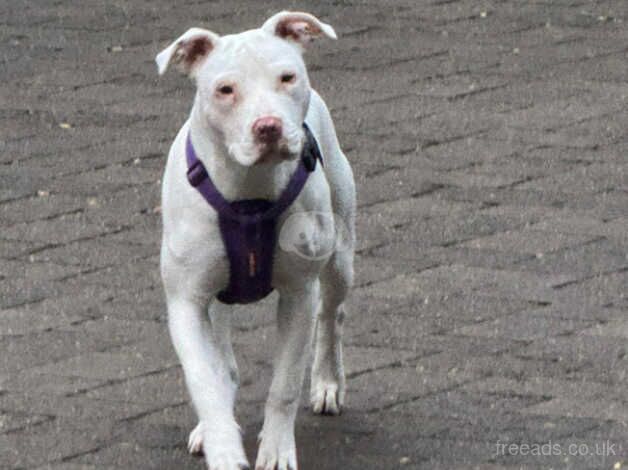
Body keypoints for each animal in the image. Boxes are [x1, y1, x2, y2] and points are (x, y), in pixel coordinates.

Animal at [155, 11, 356, 470]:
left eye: (287, 77)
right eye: (225, 89)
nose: (268, 126)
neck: (248, 190)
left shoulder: (299, 295)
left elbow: (284, 385)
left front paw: (277, 450)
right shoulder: (186, 303)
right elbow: (206, 382)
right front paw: (223, 448)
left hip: (339, 259)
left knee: (332, 316)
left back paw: (327, 383)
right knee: (222, 361)